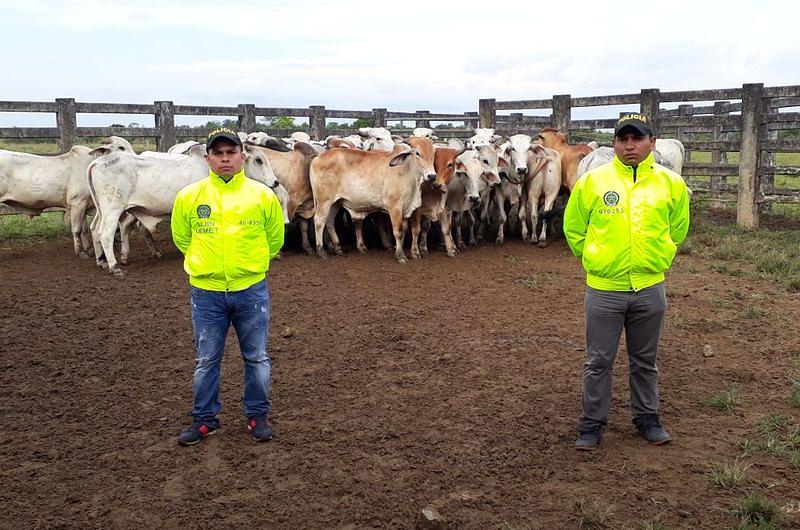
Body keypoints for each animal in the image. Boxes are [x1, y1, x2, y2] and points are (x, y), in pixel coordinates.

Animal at [88, 144, 280, 276]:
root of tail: (97, 162)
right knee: (106, 233)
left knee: (96, 229)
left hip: (106, 210)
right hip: (113, 208)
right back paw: (114, 267)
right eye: (258, 160)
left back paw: (104, 261)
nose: (275, 182)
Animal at [308, 138, 438, 262]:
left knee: (329, 221)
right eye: (418, 153)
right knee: (319, 221)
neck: (407, 173)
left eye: (433, 153)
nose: (432, 175)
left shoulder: (406, 208)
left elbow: (406, 230)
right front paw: (400, 256)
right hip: (324, 201)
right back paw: (321, 252)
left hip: (335, 203)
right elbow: (398, 231)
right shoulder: (394, 207)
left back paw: (338, 249)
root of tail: (317, 157)